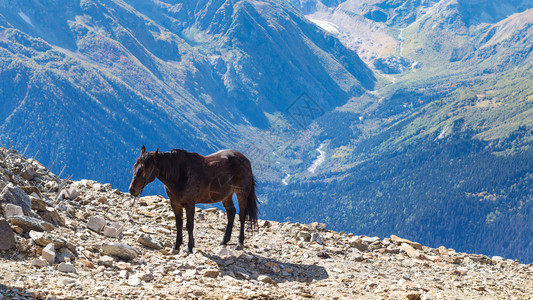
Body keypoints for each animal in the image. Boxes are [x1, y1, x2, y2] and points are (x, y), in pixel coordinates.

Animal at [129, 145, 258, 251]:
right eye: (135, 166)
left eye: (144, 169)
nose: (132, 190)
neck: (180, 174)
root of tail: (246, 160)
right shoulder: (175, 204)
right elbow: (179, 224)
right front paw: (176, 246)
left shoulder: (190, 204)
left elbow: (189, 225)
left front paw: (189, 247)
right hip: (226, 196)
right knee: (231, 213)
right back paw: (224, 240)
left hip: (241, 194)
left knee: (242, 215)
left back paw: (240, 242)